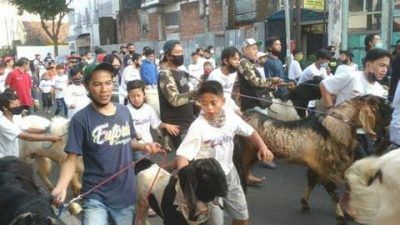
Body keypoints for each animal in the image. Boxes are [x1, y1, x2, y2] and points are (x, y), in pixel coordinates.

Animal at [239, 95, 392, 225]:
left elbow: (312, 182)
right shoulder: (326, 169)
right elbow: (333, 193)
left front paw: (305, 204)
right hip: (245, 154)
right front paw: (341, 218)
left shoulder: (315, 167)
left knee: (246, 170)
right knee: (242, 170)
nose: (391, 115)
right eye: (376, 106)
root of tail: (245, 115)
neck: (336, 127)